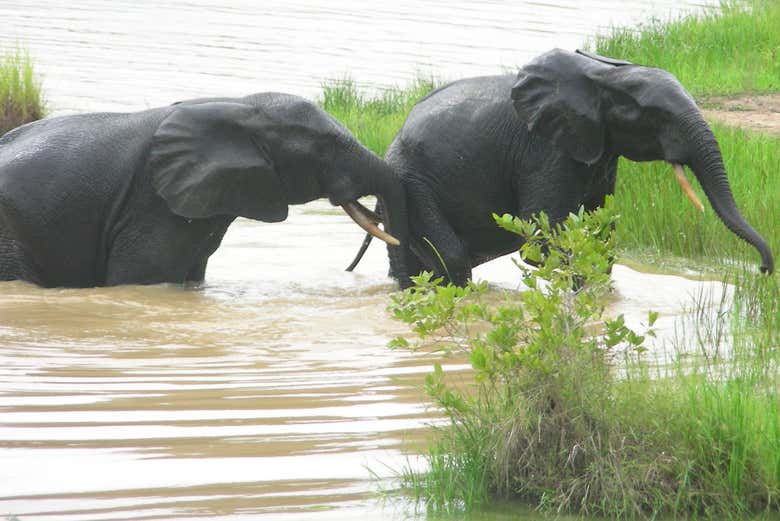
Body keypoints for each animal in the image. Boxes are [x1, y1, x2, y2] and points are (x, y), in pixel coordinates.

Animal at [348, 47, 772, 288]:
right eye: (656, 117)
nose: (765, 271)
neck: (605, 75)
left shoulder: (599, 148)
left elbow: (600, 228)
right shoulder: (544, 151)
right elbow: (546, 232)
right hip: (412, 181)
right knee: (450, 257)